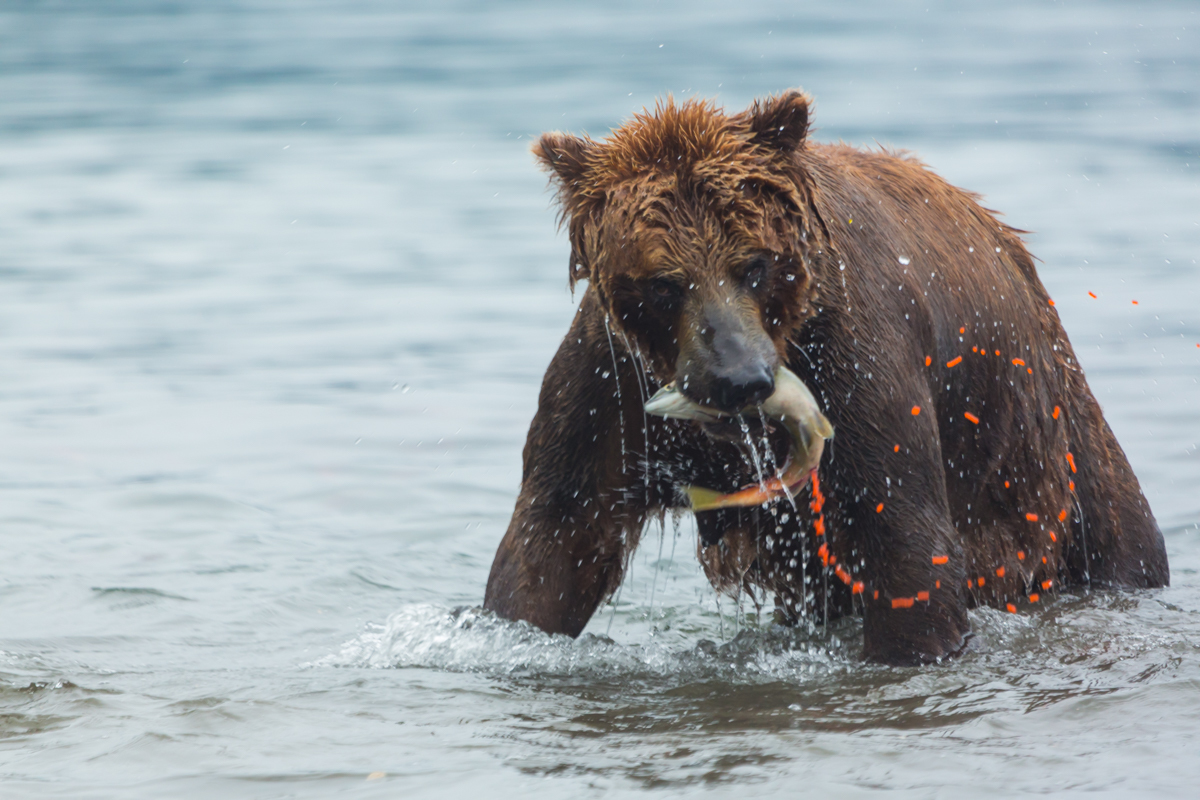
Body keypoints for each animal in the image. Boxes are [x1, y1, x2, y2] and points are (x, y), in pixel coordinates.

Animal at [480, 89, 1171, 662]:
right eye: (665, 284)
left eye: (753, 264)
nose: (741, 379)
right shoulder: (612, 387)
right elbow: (557, 537)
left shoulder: (856, 358)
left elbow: (905, 541)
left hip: (1061, 470)